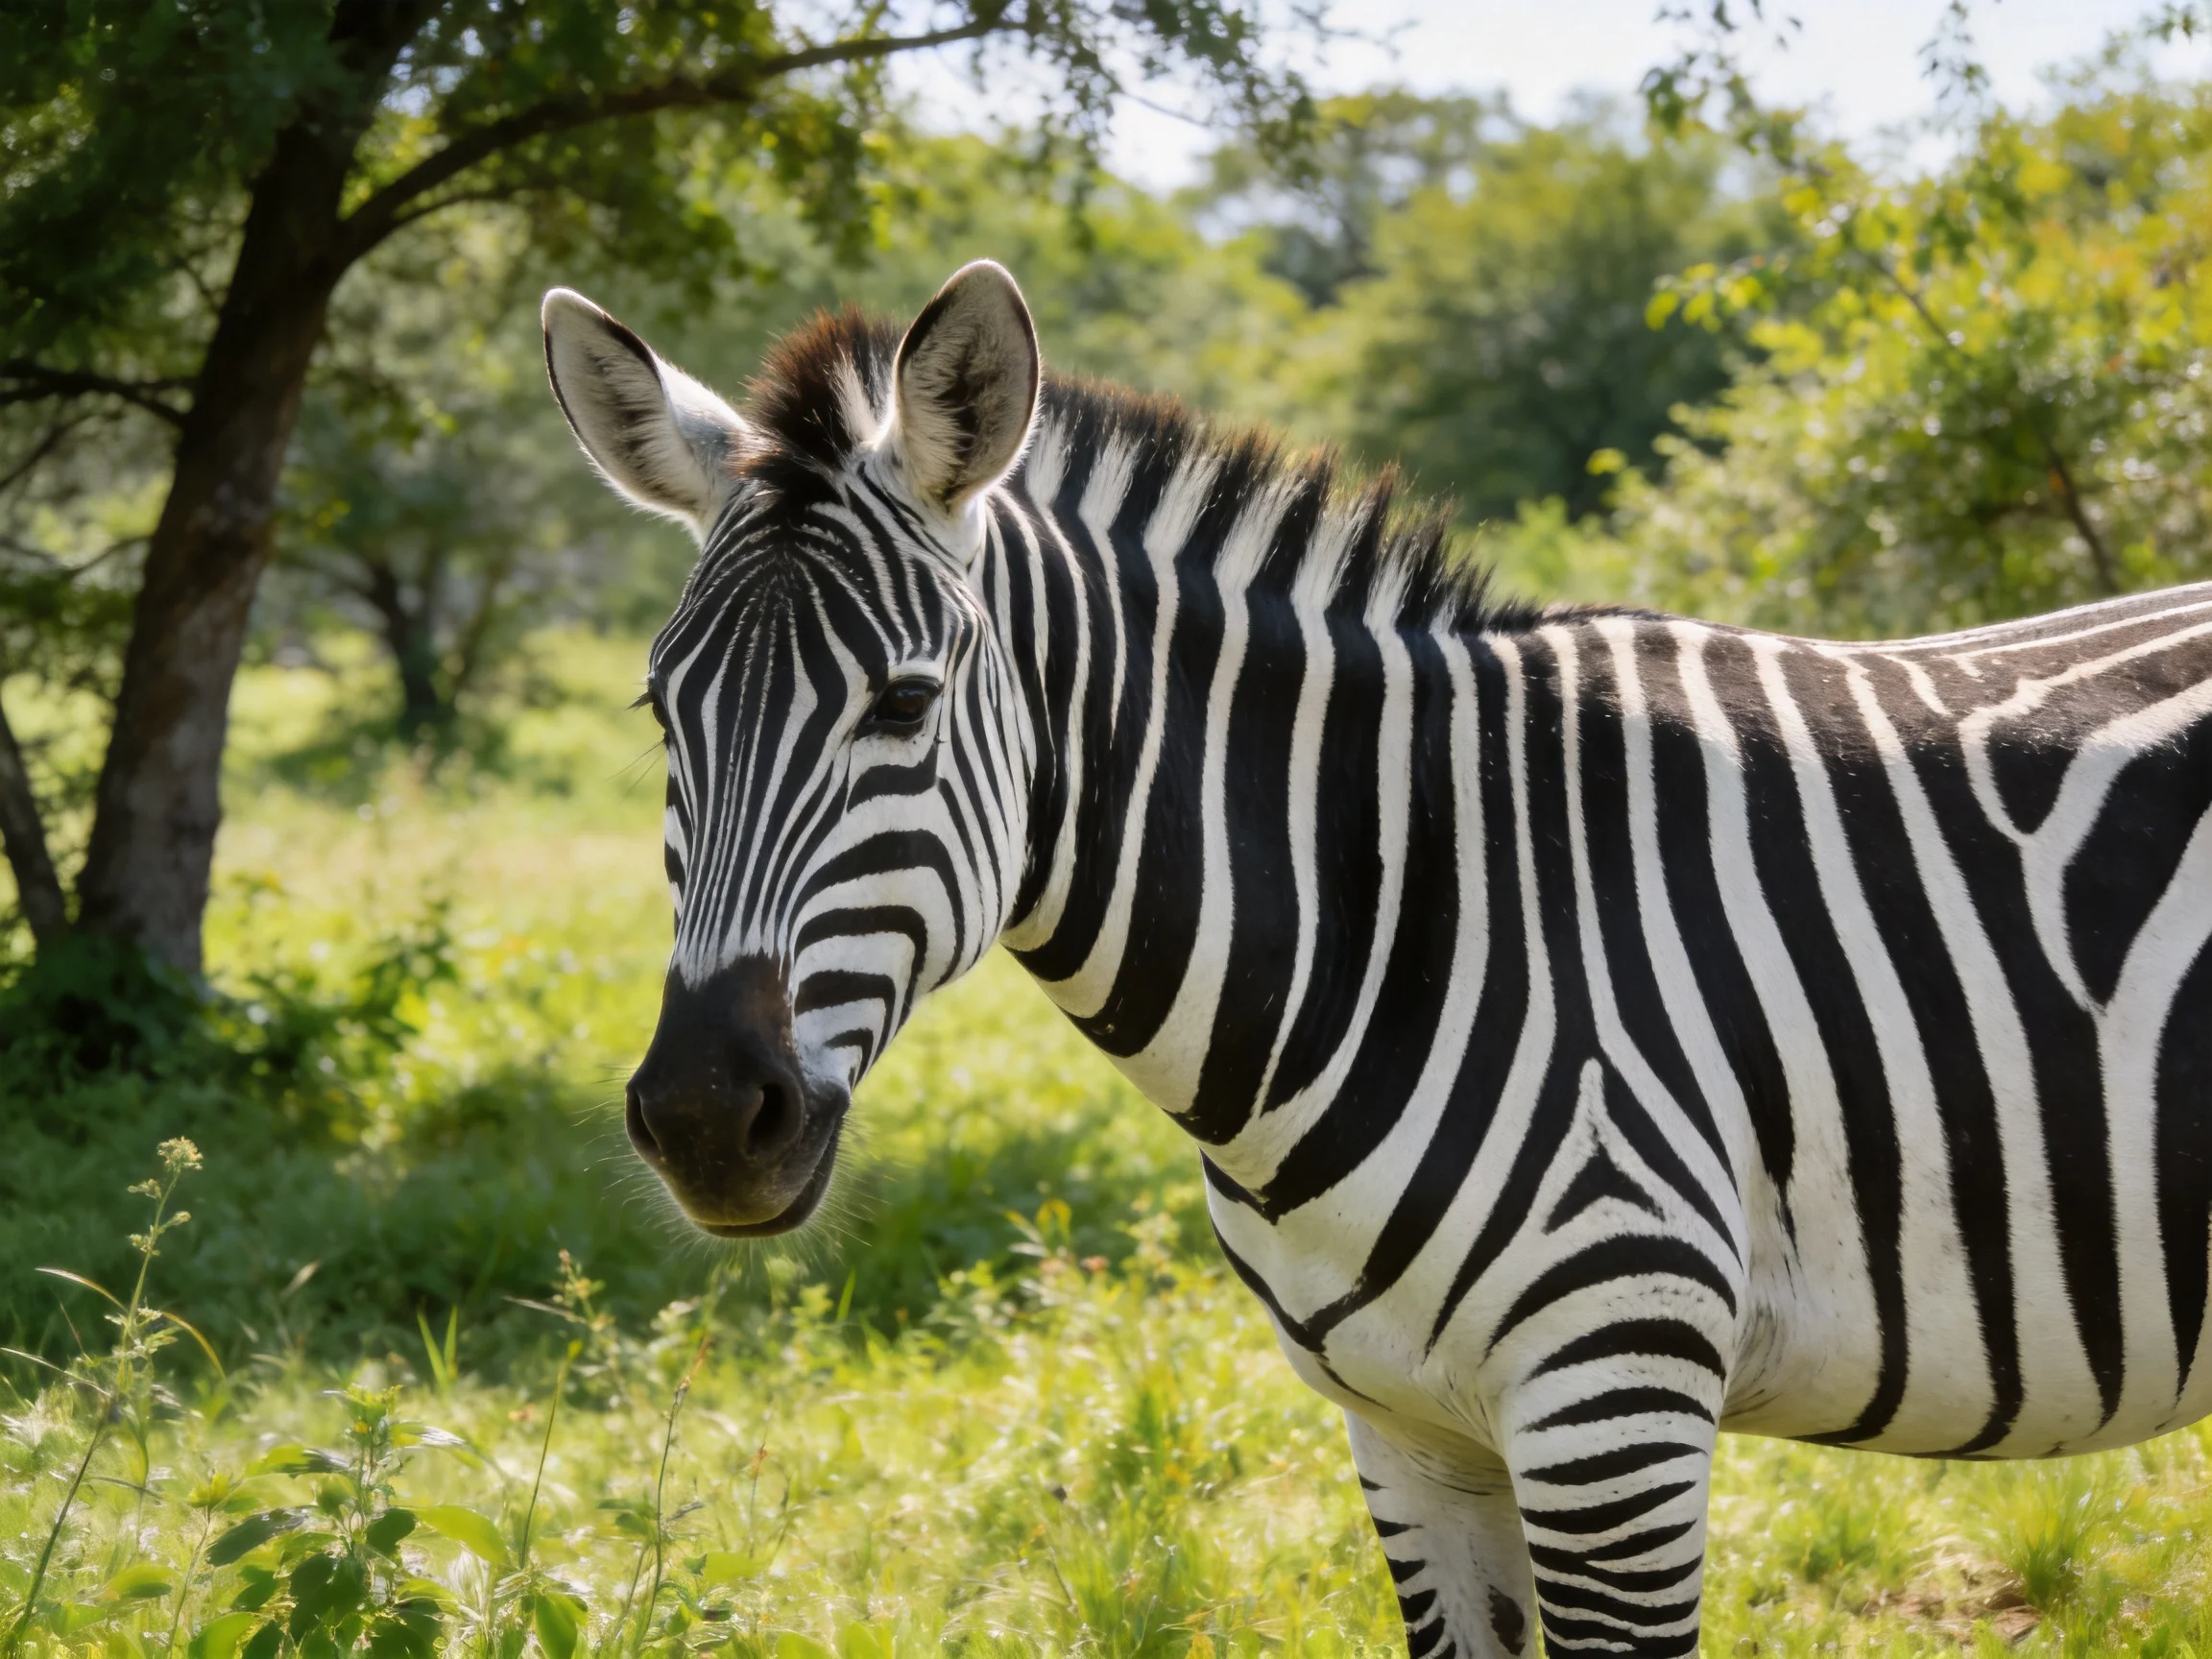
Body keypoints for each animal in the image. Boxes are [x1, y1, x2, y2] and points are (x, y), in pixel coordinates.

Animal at [542, 260, 2212, 1656]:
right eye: (659, 716)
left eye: (903, 702)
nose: (704, 1117)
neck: (1414, 912)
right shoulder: (1409, 1438)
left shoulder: (1617, 1405)